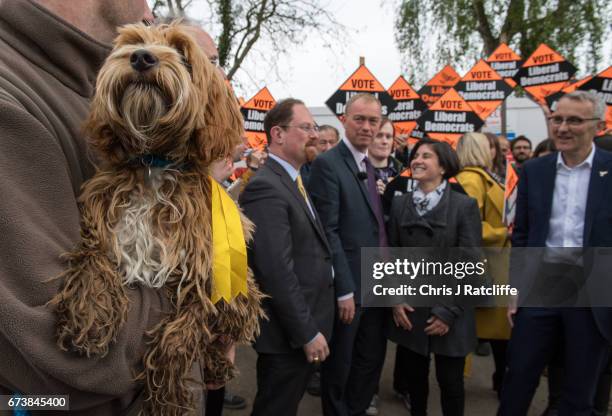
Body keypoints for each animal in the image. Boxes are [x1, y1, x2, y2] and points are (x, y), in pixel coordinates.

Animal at [49, 23, 264, 416]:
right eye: (134, 42)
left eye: (182, 52)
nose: (141, 57)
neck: (153, 163)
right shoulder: (103, 218)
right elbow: (94, 252)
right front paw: (91, 310)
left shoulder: (205, 276)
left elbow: (183, 334)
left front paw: (168, 397)